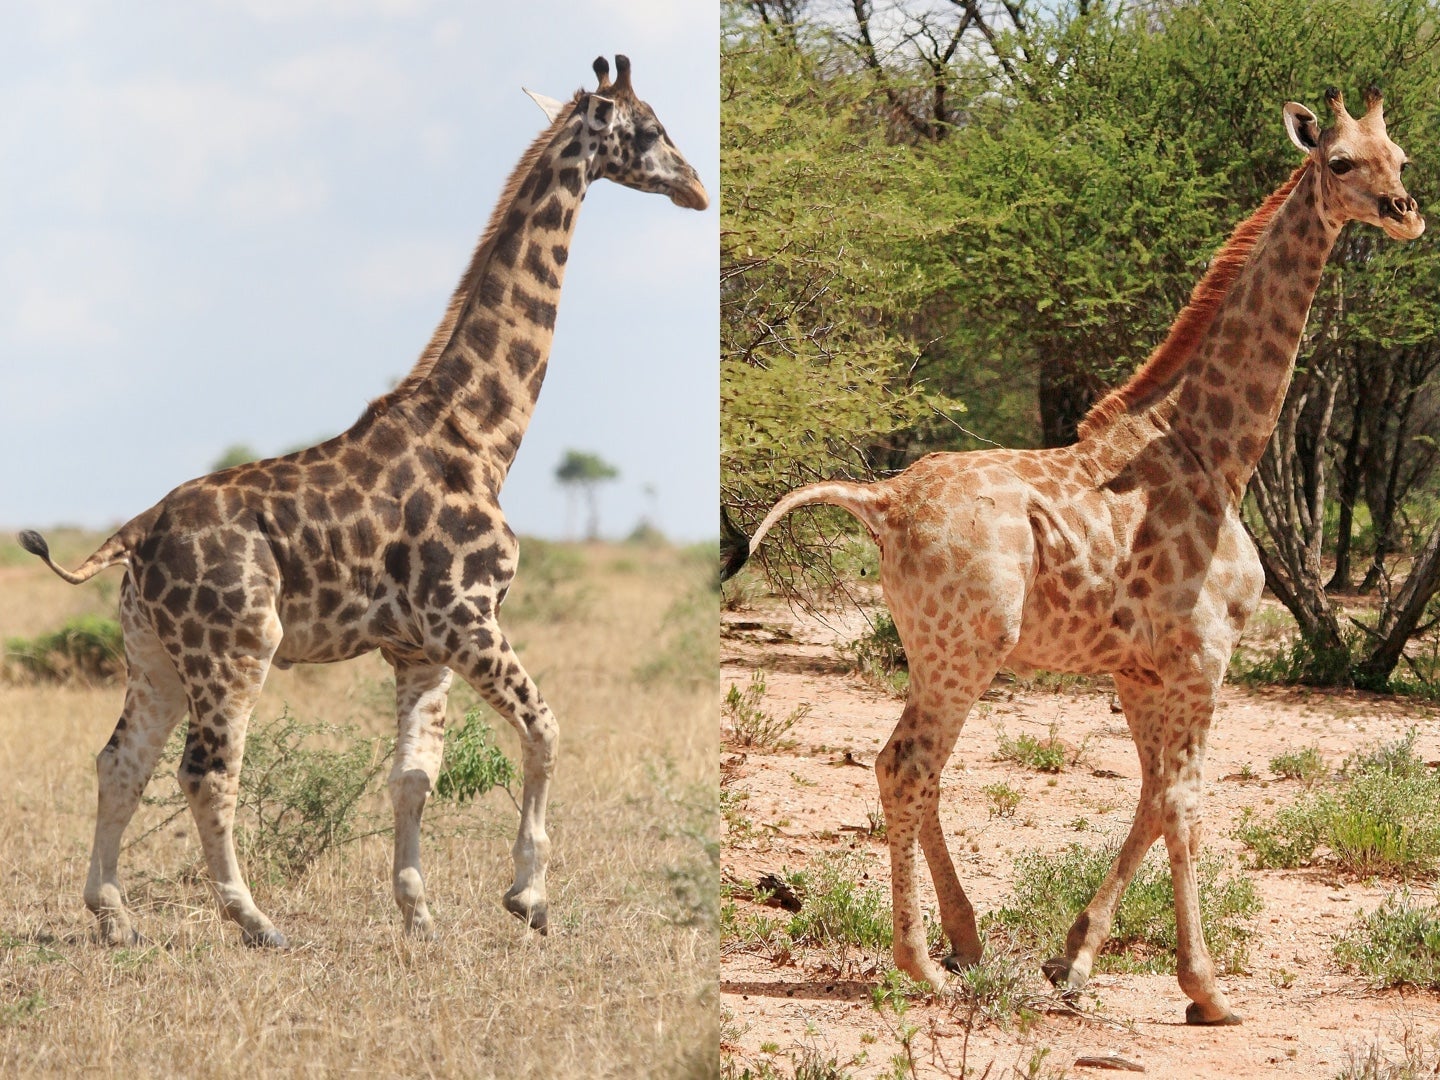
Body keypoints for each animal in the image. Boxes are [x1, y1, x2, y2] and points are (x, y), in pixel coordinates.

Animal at [19, 55, 707, 949]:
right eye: (650, 128)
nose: (697, 187)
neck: (482, 437)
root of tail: (138, 531)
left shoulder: (420, 647)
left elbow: (413, 776)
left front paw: (419, 913)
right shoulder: (468, 615)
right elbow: (546, 728)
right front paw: (528, 896)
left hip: (153, 653)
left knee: (121, 762)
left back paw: (113, 917)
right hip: (236, 646)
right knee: (206, 770)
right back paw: (254, 920)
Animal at [723, 88, 1421, 1024]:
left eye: (1401, 157)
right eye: (1339, 161)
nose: (1406, 212)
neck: (1216, 451)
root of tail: (882, 504)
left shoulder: (1141, 667)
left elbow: (1152, 798)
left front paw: (1076, 958)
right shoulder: (1204, 657)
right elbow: (1185, 803)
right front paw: (1206, 991)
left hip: (932, 648)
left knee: (918, 769)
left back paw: (966, 942)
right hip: (969, 648)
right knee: (906, 765)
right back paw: (922, 966)